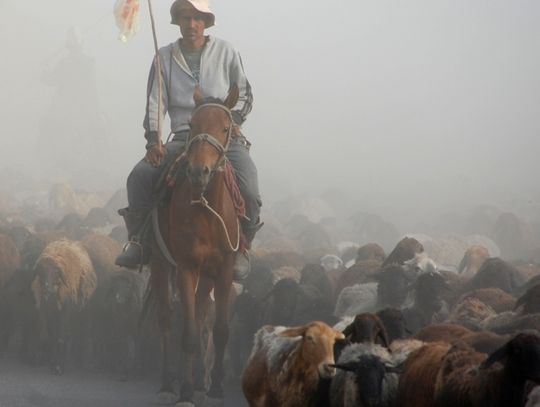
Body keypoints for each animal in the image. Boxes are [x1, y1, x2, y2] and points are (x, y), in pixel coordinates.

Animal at [30, 239, 97, 376]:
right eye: (41, 271)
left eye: (56, 272)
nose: (47, 289)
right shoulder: (44, 313)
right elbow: (46, 334)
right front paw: (45, 359)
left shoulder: (66, 314)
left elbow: (61, 336)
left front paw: (58, 366)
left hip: (84, 313)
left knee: (80, 333)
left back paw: (78, 359)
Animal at [150, 87, 238, 407]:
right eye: (193, 124)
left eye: (224, 128)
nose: (199, 171)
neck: (205, 207)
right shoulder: (186, 267)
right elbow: (186, 333)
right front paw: (185, 393)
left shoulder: (224, 269)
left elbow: (220, 330)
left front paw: (213, 390)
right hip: (160, 262)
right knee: (165, 318)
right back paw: (167, 384)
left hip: (208, 274)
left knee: (201, 316)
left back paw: (201, 383)